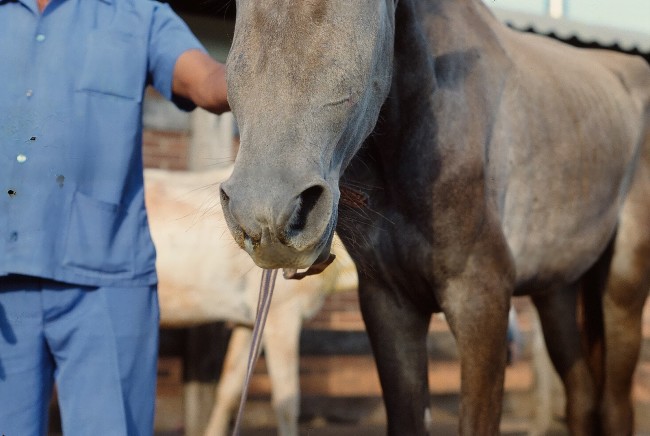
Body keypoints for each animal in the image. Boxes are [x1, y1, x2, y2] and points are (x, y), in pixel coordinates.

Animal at [218, 1, 648, 434]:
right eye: (240, 9)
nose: (267, 212)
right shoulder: (390, 305)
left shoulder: (481, 301)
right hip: (556, 290)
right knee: (582, 397)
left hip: (622, 289)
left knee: (615, 405)